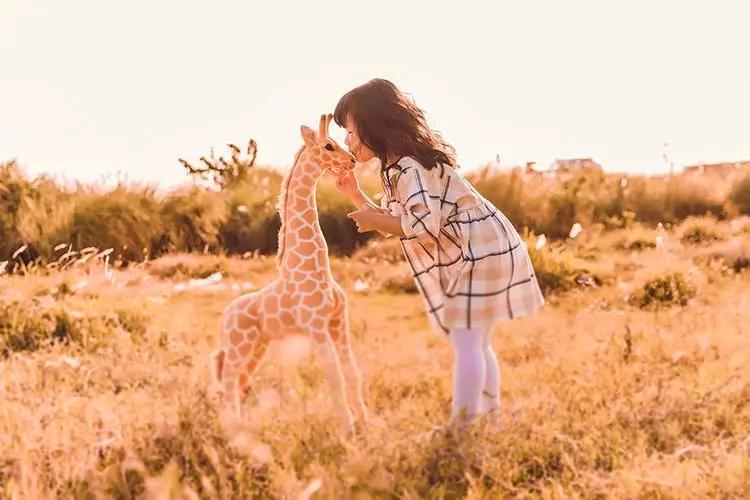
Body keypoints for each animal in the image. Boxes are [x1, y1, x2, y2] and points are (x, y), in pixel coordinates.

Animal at [211, 114, 367, 435]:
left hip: (257, 346)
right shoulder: (317, 327)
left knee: (239, 380)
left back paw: (241, 427)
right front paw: (347, 433)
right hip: (239, 345)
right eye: (329, 145)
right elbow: (335, 378)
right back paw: (236, 429)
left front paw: (368, 428)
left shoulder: (338, 323)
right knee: (230, 380)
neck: (313, 267)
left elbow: (352, 373)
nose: (351, 161)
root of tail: (224, 317)